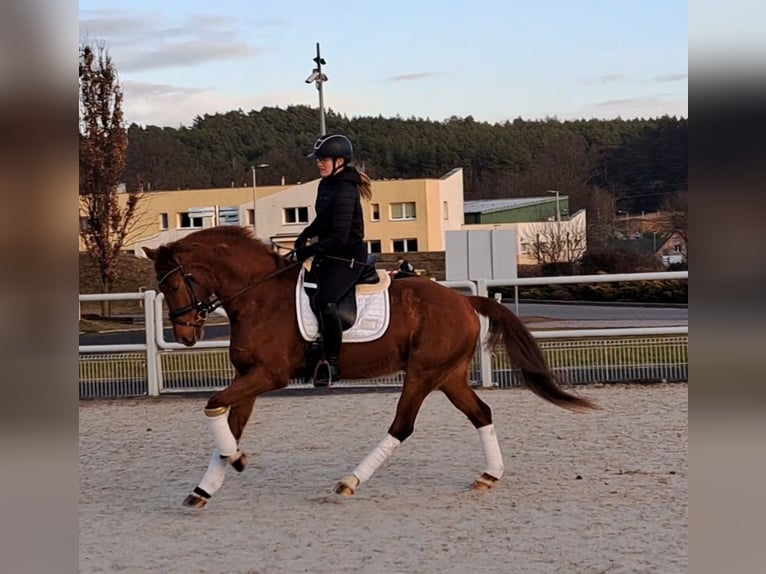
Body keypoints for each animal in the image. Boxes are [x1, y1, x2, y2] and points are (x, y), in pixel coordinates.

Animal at [146, 227, 600, 510]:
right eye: (162, 288)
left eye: (174, 285)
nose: (185, 335)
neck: (258, 297)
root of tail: (464, 300)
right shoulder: (248, 378)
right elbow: (226, 419)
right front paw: (208, 484)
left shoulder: (268, 376)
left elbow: (212, 405)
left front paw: (236, 460)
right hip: (448, 376)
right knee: (481, 414)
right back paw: (489, 475)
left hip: (422, 375)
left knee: (402, 426)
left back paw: (350, 481)